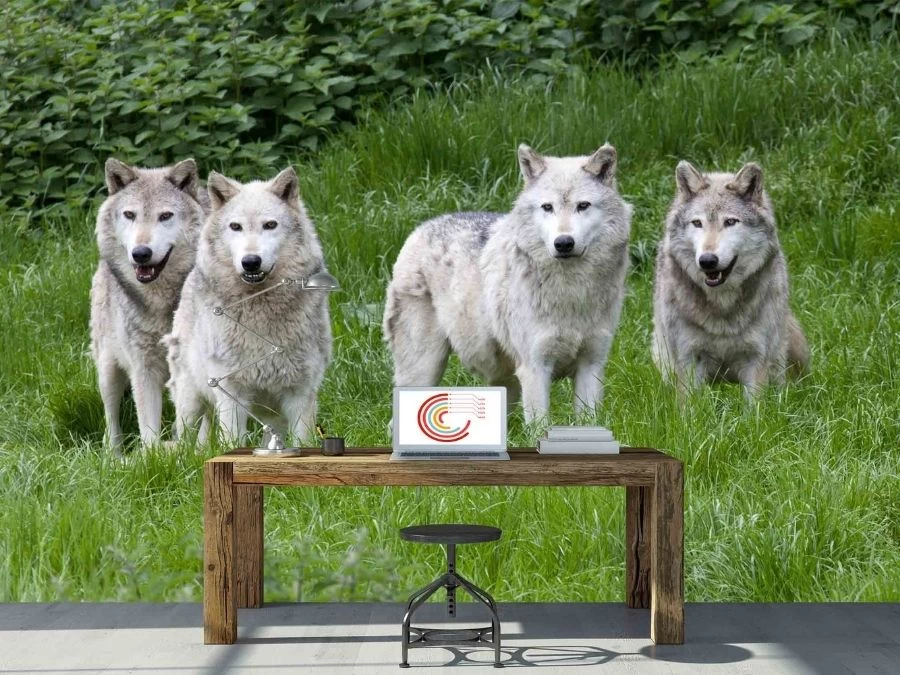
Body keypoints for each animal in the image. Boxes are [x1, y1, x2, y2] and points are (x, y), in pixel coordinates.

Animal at [90, 157, 205, 451]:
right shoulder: (143, 368)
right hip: (108, 370)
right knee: (111, 420)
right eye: (130, 215)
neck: (160, 303)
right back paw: (114, 455)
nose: (141, 253)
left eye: (165, 216)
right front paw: (152, 457)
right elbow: (148, 429)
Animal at [165, 167, 332, 444]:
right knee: (185, 441)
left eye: (270, 225)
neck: (259, 308)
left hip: (271, 418)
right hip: (191, 402)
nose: (251, 261)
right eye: (236, 227)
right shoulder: (231, 393)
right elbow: (232, 441)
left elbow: (303, 441)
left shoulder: (300, 393)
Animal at [383, 144, 632, 423]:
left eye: (583, 205)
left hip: (504, 384)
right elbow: (540, 427)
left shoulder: (591, 366)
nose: (563, 243)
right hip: (425, 368)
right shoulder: (535, 369)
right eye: (547, 207)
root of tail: (421, 228)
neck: (572, 292)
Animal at [652, 161, 809, 400]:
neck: (722, 307)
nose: (707, 261)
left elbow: (756, 407)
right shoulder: (688, 359)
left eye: (730, 222)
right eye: (697, 223)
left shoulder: (756, 360)